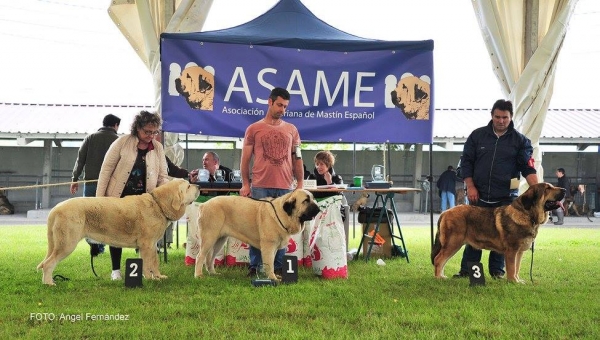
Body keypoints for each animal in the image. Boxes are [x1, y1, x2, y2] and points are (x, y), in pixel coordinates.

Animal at [38, 179, 200, 286]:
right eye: (188, 186)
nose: (198, 185)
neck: (158, 205)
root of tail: (55, 208)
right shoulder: (147, 244)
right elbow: (149, 263)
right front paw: (150, 279)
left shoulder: (151, 245)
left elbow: (154, 262)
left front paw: (158, 276)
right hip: (67, 244)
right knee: (48, 263)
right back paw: (49, 283)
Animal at [434, 183, 564, 284]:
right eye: (547, 188)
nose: (565, 190)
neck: (527, 215)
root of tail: (445, 212)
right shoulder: (511, 251)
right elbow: (511, 268)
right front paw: (513, 282)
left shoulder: (519, 252)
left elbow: (517, 267)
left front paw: (517, 280)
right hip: (453, 243)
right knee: (438, 259)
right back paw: (438, 278)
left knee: (442, 261)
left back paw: (441, 276)